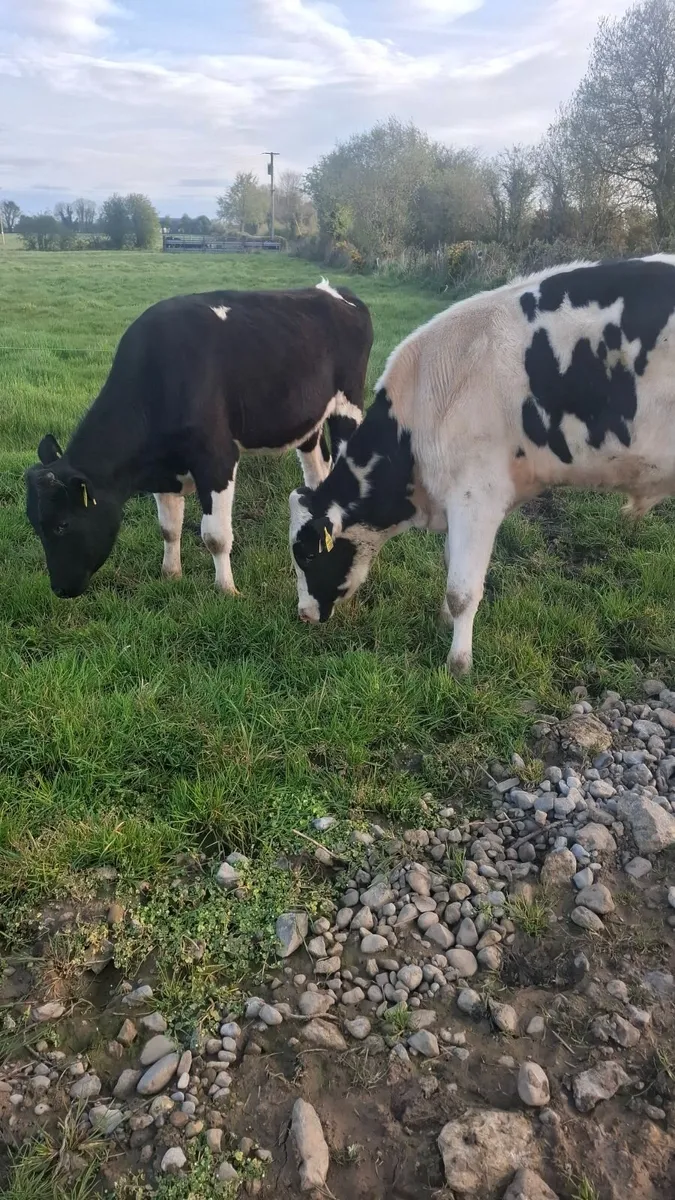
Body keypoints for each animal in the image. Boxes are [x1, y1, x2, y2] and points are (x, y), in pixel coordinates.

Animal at [26, 280, 372, 599]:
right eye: (34, 524)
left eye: (62, 524)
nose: (60, 589)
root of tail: (332, 290)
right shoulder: (164, 469)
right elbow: (168, 528)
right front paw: (170, 574)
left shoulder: (217, 459)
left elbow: (215, 536)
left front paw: (227, 589)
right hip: (308, 422)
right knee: (317, 471)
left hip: (349, 406)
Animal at [290, 255, 675, 675]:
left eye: (306, 554)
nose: (304, 613)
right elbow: (450, 564)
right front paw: (443, 623)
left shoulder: (478, 496)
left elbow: (461, 589)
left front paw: (458, 665)